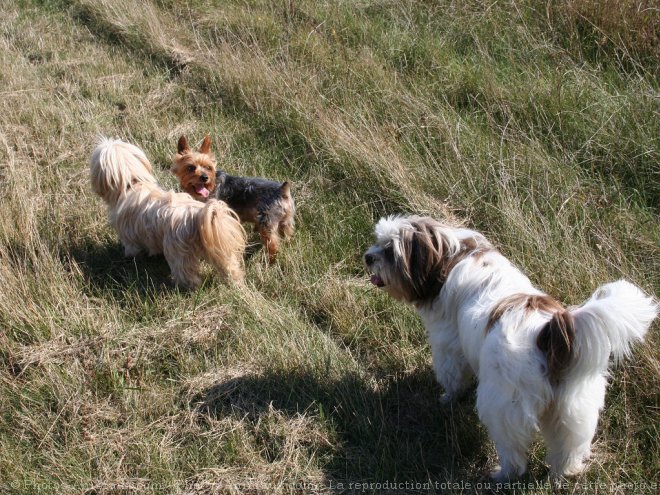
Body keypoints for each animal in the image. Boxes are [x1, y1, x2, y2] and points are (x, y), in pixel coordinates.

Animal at [89, 138, 246, 288]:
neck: (133, 183)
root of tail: (199, 214)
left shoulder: (129, 235)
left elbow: (133, 249)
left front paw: (132, 259)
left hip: (180, 253)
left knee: (186, 273)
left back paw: (188, 287)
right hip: (218, 246)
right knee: (230, 267)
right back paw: (236, 283)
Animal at [173, 134, 294, 262]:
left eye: (208, 167)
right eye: (191, 167)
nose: (205, 177)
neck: (211, 186)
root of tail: (282, 190)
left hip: (267, 223)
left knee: (273, 245)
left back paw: (271, 261)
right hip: (286, 221)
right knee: (288, 234)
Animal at [364, 216, 656, 480]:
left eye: (389, 250)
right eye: (378, 241)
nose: (368, 257)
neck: (451, 256)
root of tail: (548, 334)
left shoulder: (448, 344)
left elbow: (453, 375)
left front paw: (448, 398)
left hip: (503, 405)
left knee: (512, 450)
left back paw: (504, 473)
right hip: (574, 408)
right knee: (568, 446)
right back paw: (563, 473)